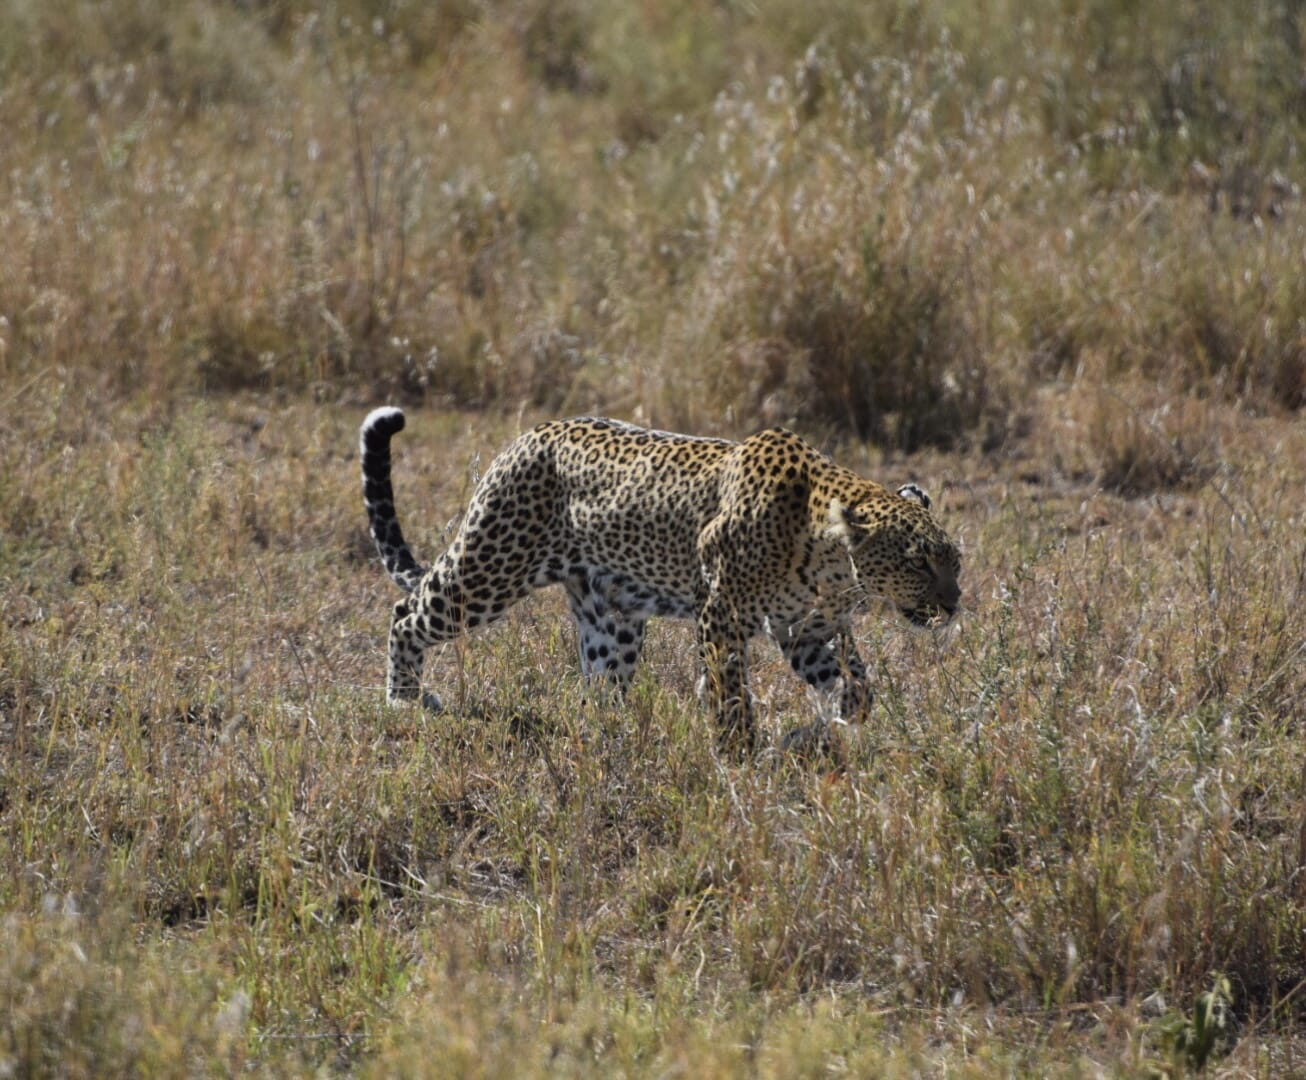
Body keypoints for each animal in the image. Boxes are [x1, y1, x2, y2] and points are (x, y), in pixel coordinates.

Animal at [360, 407, 961, 753]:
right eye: (917, 562)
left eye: (954, 561)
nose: (954, 605)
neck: (832, 567)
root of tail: (528, 434)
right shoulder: (722, 613)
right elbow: (728, 692)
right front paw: (741, 756)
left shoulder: (808, 631)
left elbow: (858, 691)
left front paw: (817, 732)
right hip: (491, 568)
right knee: (407, 613)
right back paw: (404, 701)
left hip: (612, 618)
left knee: (600, 686)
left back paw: (616, 736)